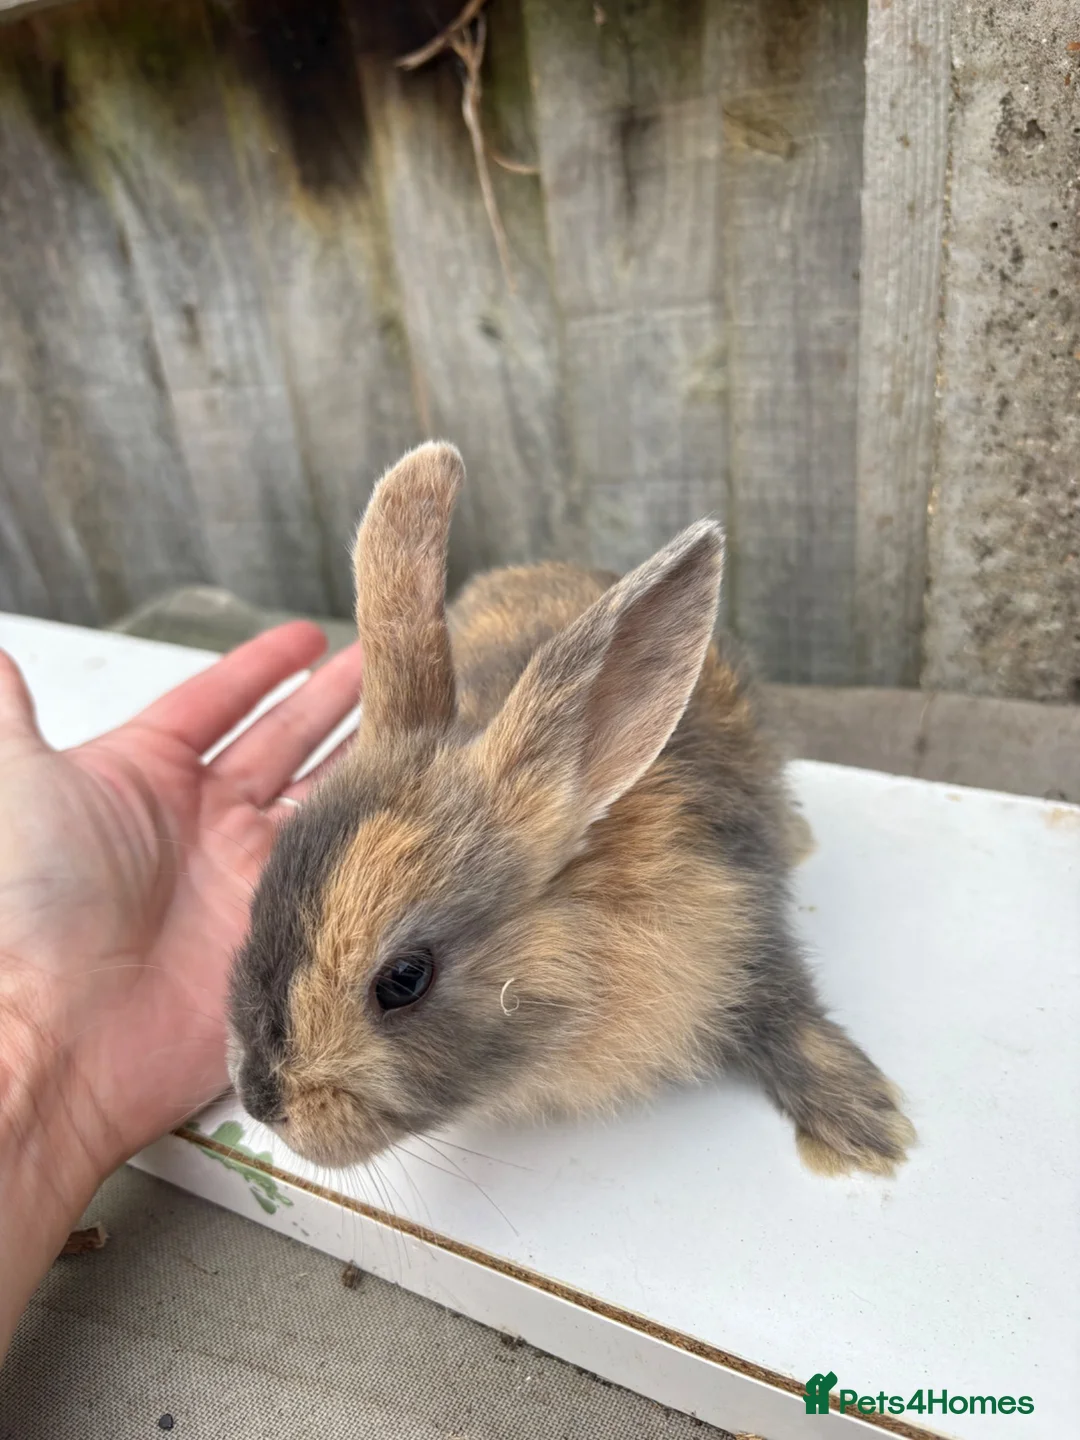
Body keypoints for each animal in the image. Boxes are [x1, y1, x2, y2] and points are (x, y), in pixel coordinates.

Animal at [227, 441, 915, 1179]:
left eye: (405, 979)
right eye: (259, 897)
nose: (261, 1101)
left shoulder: (743, 925)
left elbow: (789, 1013)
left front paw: (866, 1127)